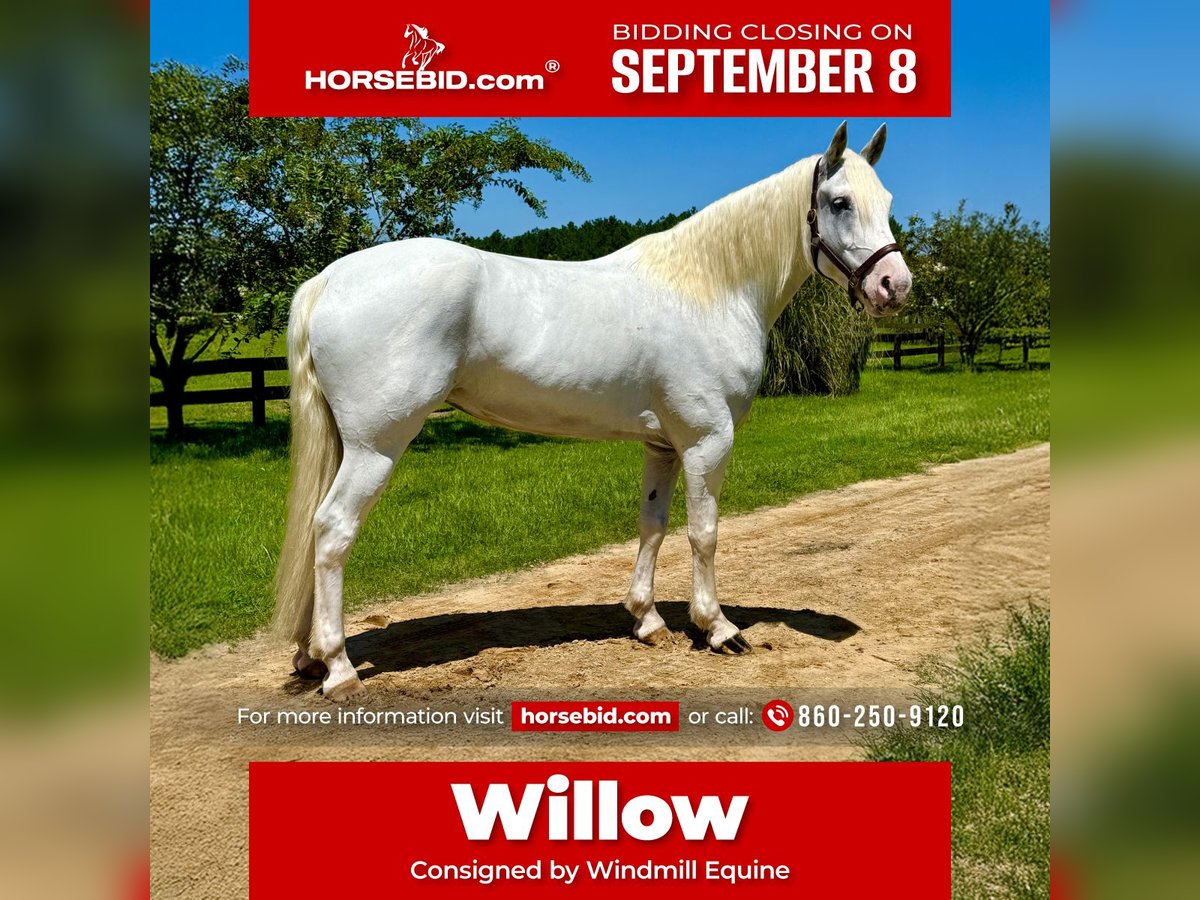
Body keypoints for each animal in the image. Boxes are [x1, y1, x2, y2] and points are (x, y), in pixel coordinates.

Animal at [274, 122, 913, 701]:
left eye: (886, 202)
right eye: (839, 202)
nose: (894, 285)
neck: (710, 290)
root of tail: (331, 279)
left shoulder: (664, 445)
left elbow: (653, 525)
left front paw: (647, 621)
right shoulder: (708, 441)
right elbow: (703, 532)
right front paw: (718, 628)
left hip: (348, 445)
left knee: (313, 532)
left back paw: (308, 657)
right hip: (376, 447)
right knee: (332, 531)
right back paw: (339, 668)